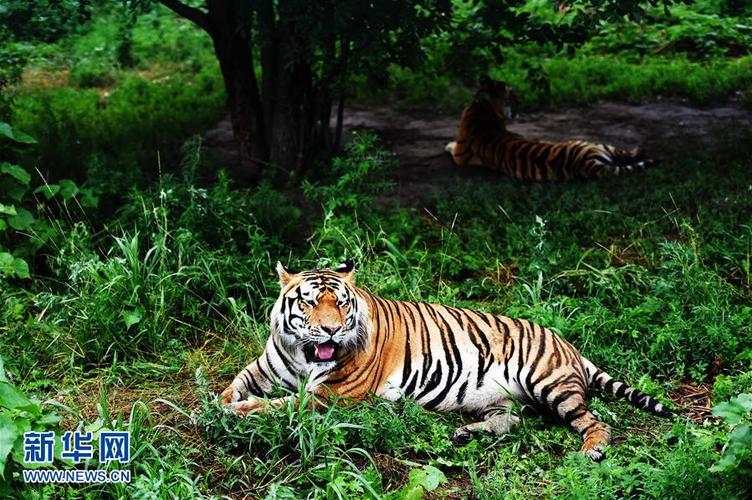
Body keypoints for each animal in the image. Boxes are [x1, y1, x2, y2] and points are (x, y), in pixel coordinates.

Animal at [221, 261, 672, 461]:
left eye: (342, 304)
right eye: (311, 302)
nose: (331, 330)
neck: (304, 353)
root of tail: (568, 344)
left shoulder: (333, 394)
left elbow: (281, 405)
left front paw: (240, 411)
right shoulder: (266, 366)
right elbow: (237, 382)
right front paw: (222, 402)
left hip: (550, 383)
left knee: (596, 422)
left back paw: (591, 451)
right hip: (498, 398)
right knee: (511, 421)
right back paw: (466, 434)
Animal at [445, 76, 657, 180]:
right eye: (512, 95)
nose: (522, 99)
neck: (483, 106)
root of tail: (588, 164)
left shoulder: (460, 155)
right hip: (595, 144)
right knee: (627, 153)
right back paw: (641, 148)